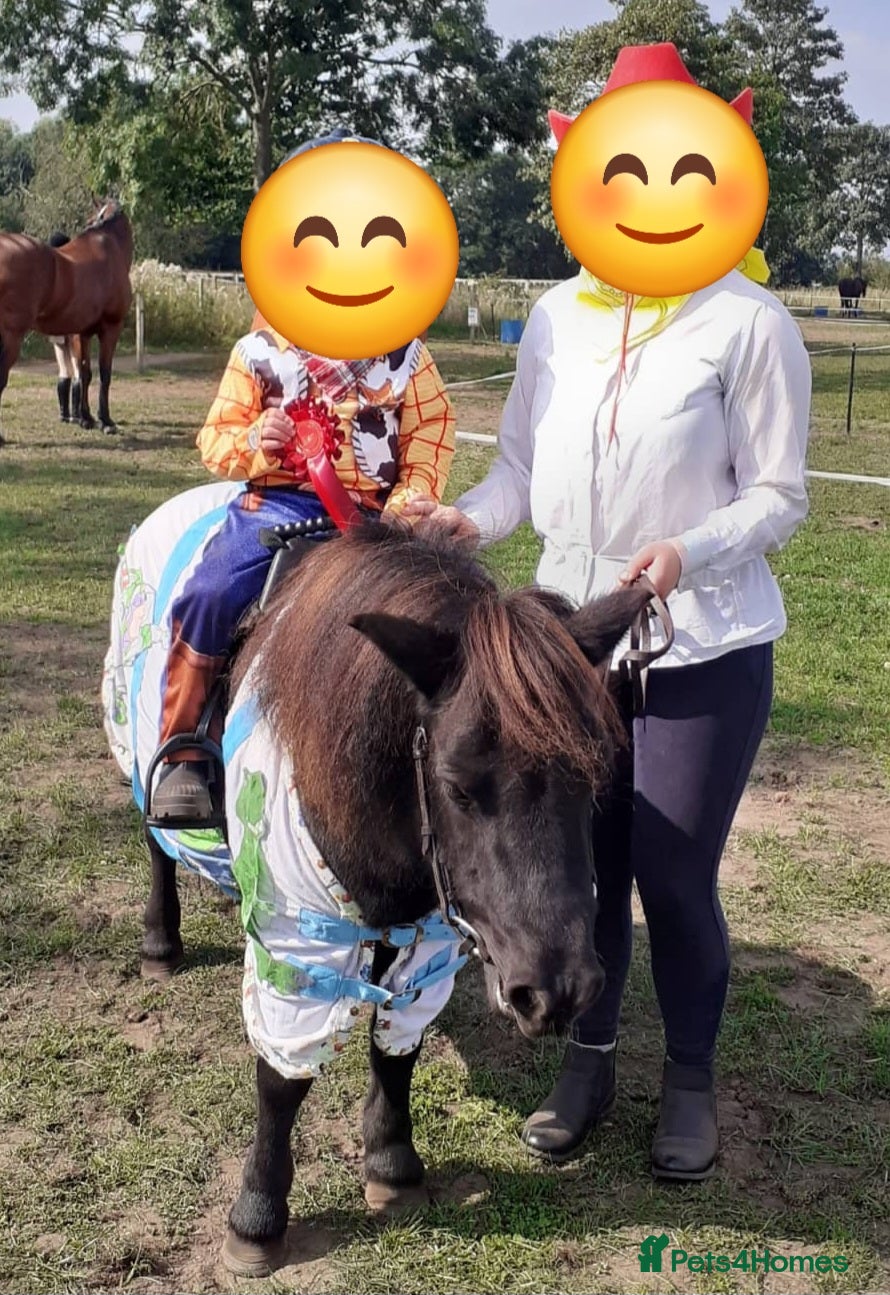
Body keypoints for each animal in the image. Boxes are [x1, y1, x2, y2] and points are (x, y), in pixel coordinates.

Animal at [0, 198, 133, 444]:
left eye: (90, 219)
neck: (111, 248)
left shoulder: (82, 333)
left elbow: (85, 374)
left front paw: (86, 418)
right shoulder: (111, 328)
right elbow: (105, 373)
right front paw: (106, 421)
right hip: (12, 337)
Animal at [102, 480, 658, 1276]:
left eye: (596, 775)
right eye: (456, 784)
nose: (559, 990)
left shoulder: (430, 934)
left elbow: (399, 1047)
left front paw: (392, 1162)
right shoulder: (293, 936)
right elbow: (283, 1079)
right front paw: (258, 1214)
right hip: (137, 744)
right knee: (157, 842)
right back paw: (160, 941)